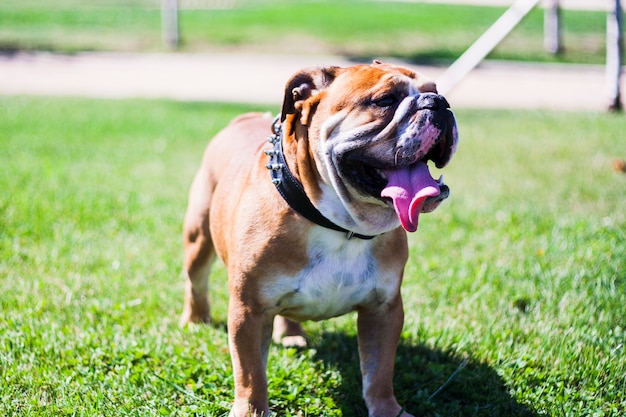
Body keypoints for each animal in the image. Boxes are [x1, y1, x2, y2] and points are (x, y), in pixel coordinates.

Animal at [178, 59, 456, 416]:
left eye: (435, 91)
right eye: (385, 100)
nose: (439, 103)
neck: (339, 224)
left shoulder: (384, 310)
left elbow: (379, 371)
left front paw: (387, 409)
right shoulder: (249, 311)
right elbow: (251, 373)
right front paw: (251, 410)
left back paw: (291, 335)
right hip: (198, 239)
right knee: (195, 283)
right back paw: (195, 320)